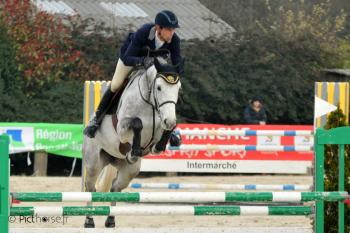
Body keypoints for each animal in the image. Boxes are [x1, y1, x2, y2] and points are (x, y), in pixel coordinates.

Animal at [82, 56, 180, 228]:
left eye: (178, 88)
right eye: (159, 88)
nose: (169, 120)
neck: (150, 103)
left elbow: (163, 135)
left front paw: (161, 144)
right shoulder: (122, 128)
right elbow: (137, 123)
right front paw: (134, 151)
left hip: (129, 171)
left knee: (115, 187)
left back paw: (111, 220)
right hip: (94, 163)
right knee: (90, 188)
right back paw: (89, 220)